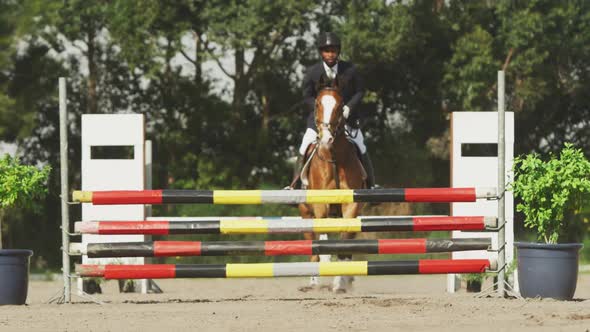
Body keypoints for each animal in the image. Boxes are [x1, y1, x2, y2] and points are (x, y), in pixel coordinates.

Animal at [298, 76, 368, 294]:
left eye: (339, 105)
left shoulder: (351, 206)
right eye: (317, 104)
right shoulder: (320, 206)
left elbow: (344, 242)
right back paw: (313, 281)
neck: (335, 158)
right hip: (306, 213)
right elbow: (323, 239)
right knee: (313, 244)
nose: (327, 138)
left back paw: (347, 278)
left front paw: (340, 282)